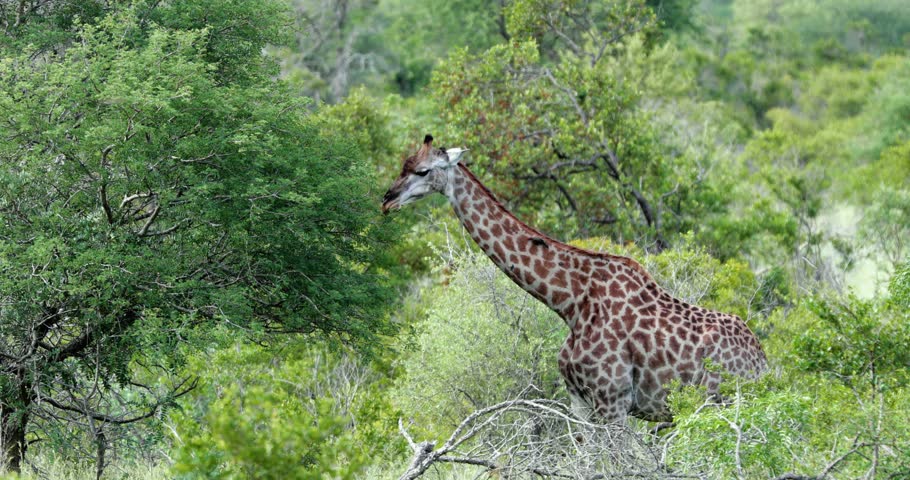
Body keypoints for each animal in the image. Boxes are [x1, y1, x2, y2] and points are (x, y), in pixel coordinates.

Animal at [382, 135, 768, 423]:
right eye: (403, 165)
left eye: (423, 171)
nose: (387, 200)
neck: (569, 303)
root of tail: (763, 364)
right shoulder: (580, 402)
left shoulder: (612, 401)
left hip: (719, 402)